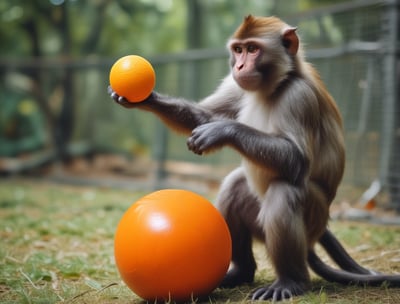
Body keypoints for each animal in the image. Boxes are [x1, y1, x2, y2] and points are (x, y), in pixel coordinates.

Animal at [108, 15, 400, 300]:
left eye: (252, 49)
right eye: (238, 50)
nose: (239, 66)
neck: (277, 84)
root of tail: (314, 237)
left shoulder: (299, 97)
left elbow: (297, 160)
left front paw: (223, 130)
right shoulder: (236, 85)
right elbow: (203, 116)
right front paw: (147, 99)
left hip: (313, 218)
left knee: (283, 191)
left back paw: (291, 281)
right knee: (234, 186)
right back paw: (242, 272)